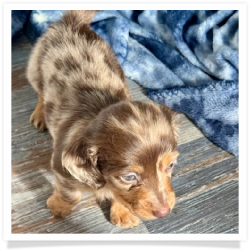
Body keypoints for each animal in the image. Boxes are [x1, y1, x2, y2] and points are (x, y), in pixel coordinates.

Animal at [27, 10, 179, 229]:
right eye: (129, 177)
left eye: (170, 165)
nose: (164, 212)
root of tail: (72, 22)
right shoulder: (62, 170)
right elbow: (71, 195)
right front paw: (58, 207)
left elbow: (119, 197)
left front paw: (122, 212)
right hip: (36, 67)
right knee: (40, 90)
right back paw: (40, 113)